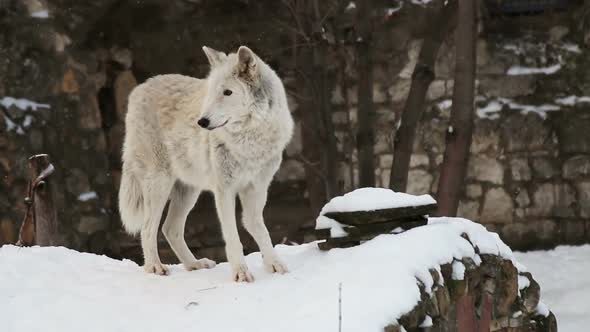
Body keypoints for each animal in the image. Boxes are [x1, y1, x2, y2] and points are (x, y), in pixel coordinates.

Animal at [119, 45, 296, 282]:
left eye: (227, 92)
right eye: (212, 93)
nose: (201, 122)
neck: (249, 140)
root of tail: (139, 89)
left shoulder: (257, 188)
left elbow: (257, 226)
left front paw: (274, 264)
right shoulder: (224, 190)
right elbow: (232, 236)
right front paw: (241, 273)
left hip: (188, 191)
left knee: (169, 228)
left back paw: (194, 264)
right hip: (159, 185)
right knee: (148, 229)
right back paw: (155, 267)